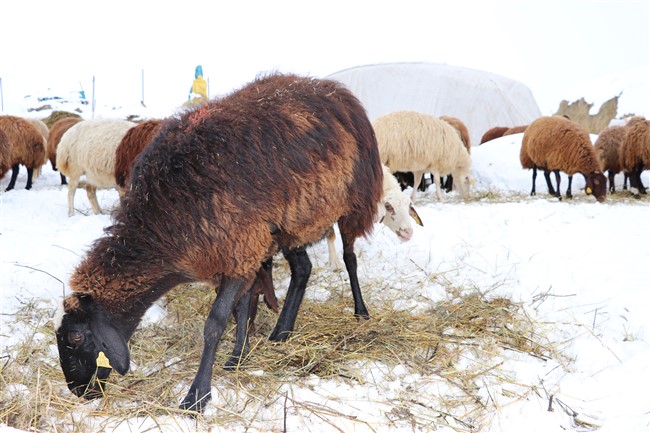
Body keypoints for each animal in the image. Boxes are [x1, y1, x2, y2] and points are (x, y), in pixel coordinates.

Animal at [55, 73, 382, 412]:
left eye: (76, 337)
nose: (78, 391)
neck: (163, 220)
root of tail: (335, 90)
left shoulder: (240, 250)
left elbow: (215, 323)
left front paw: (197, 395)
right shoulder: (240, 251)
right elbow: (242, 308)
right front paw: (239, 357)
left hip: (354, 199)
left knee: (349, 257)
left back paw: (360, 312)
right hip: (289, 224)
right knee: (303, 269)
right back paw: (282, 331)